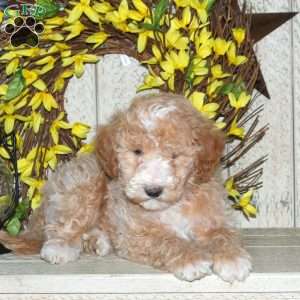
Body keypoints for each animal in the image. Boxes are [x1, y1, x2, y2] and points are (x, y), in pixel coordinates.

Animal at [0, 92, 252, 282]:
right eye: (137, 152)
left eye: (174, 155)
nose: (153, 190)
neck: (172, 206)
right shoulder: (135, 232)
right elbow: (166, 240)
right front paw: (192, 259)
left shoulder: (214, 218)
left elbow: (223, 235)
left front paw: (232, 259)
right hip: (84, 183)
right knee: (63, 224)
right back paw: (60, 247)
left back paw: (98, 241)